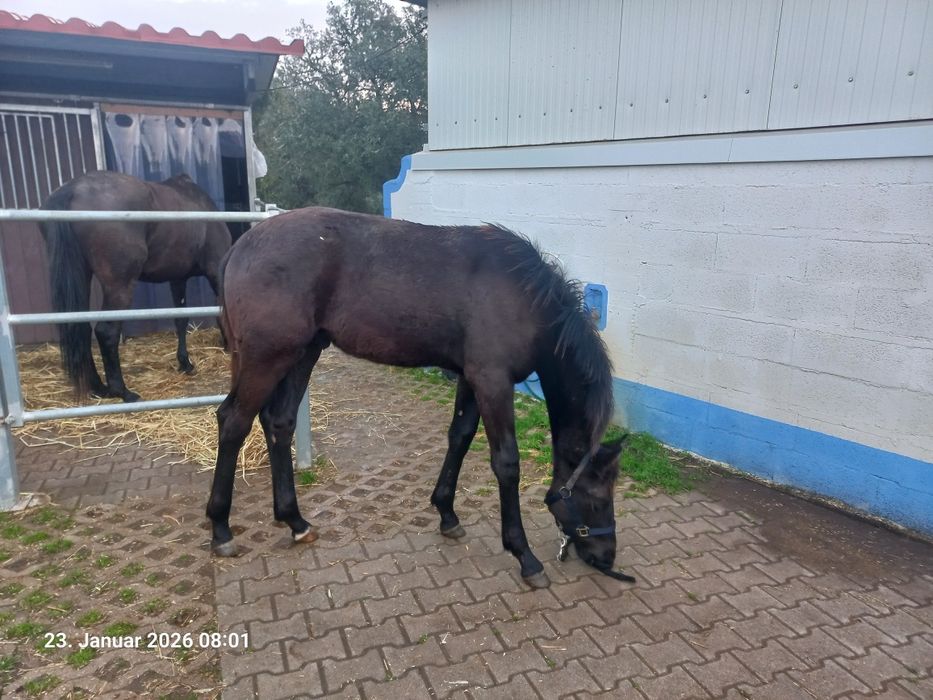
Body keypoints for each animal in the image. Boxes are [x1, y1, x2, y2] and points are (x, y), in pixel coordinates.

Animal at [40, 170, 232, 403]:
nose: (227, 346)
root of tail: (72, 190)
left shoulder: (177, 278)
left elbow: (181, 320)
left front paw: (185, 363)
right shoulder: (214, 270)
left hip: (82, 276)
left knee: (82, 328)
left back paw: (98, 388)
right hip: (119, 285)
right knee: (106, 332)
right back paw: (122, 391)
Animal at [209, 207, 634, 588]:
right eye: (598, 498)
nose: (607, 557)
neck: (523, 297)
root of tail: (241, 247)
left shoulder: (472, 379)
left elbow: (459, 437)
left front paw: (447, 513)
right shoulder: (493, 382)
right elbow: (506, 464)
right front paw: (524, 556)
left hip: (302, 353)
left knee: (278, 422)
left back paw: (295, 521)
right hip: (268, 358)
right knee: (234, 421)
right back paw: (220, 529)